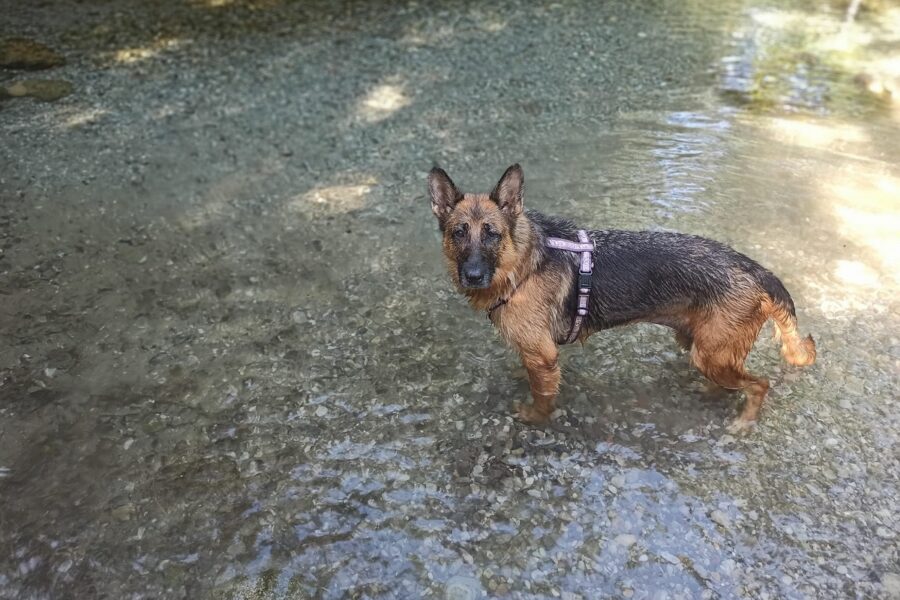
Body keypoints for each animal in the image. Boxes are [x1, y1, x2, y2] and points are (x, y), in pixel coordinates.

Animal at [428, 163, 816, 432]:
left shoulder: (544, 357)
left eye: (491, 234)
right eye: (458, 232)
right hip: (702, 348)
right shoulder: (534, 353)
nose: (472, 276)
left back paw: (744, 422)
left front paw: (536, 418)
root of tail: (754, 268)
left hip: (712, 354)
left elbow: (542, 396)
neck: (522, 265)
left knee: (760, 384)